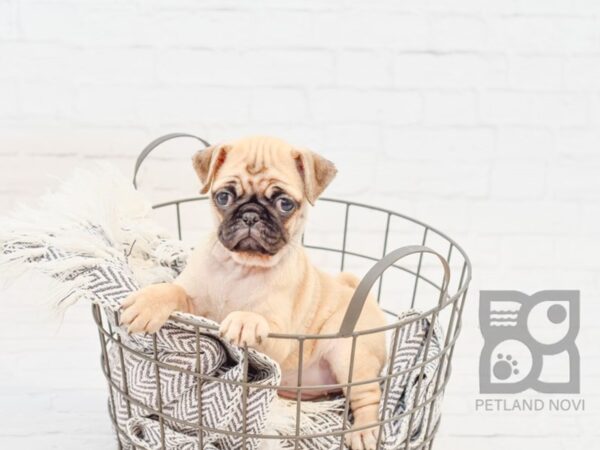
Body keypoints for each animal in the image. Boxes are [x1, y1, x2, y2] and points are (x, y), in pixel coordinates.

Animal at [119, 137, 386, 450]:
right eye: (223, 197)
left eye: (284, 204)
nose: (250, 214)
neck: (240, 267)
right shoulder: (193, 301)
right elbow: (173, 289)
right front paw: (149, 301)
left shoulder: (281, 337)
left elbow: (257, 320)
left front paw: (245, 320)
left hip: (351, 355)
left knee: (368, 395)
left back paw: (364, 431)